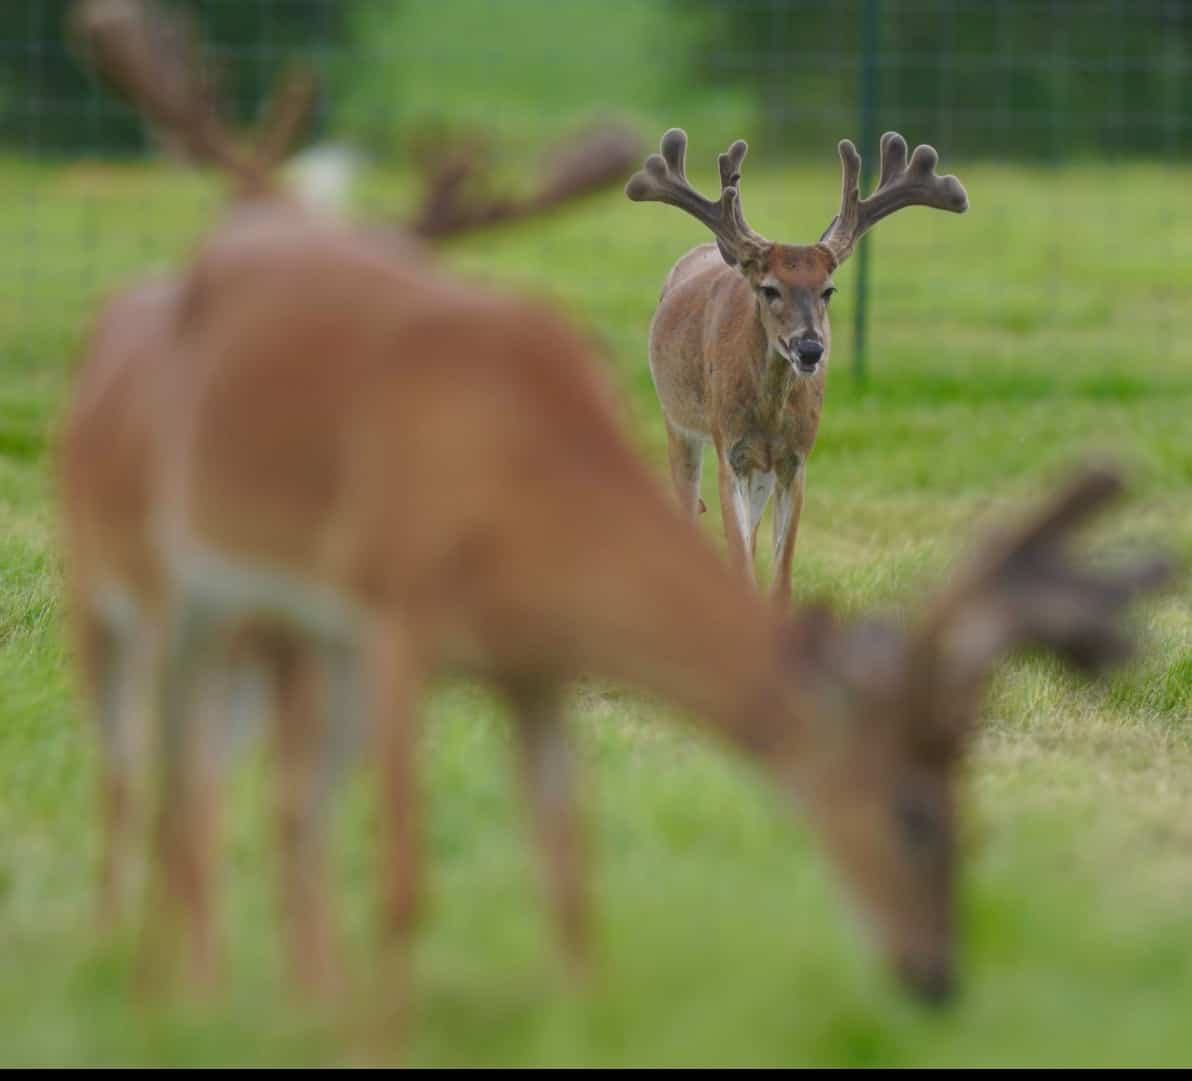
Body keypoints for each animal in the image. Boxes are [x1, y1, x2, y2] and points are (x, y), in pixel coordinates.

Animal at [626, 129, 969, 604]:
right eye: (770, 289)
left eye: (828, 289)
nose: (810, 349)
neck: (769, 414)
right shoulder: (728, 447)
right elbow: (740, 559)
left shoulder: (796, 457)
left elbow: (780, 571)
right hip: (678, 424)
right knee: (689, 508)